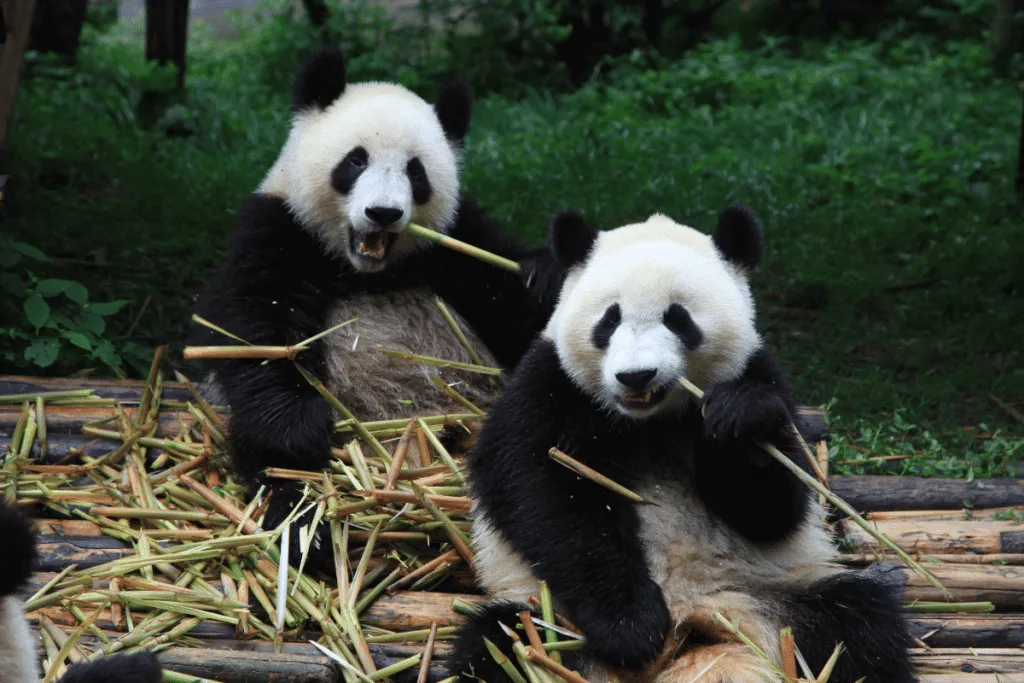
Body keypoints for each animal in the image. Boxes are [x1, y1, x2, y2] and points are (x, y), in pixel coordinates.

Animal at [189, 48, 560, 567]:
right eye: (355, 161)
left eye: (416, 172)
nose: (383, 213)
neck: (365, 270)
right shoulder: (277, 231)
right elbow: (257, 338)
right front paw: (300, 432)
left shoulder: (456, 244)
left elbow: (517, 309)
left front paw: (540, 275)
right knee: (278, 468)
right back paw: (306, 532)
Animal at [449, 208, 915, 683]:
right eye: (609, 319)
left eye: (677, 318)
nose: (636, 376)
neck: (647, 422)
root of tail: (691, 631)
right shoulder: (551, 387)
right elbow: (545, 495)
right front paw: (631, 628)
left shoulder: (762, 378)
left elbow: (771, 509)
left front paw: (740, 418)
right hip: (548, 620)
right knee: (500, 644)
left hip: (776, 598)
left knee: (856, 625)